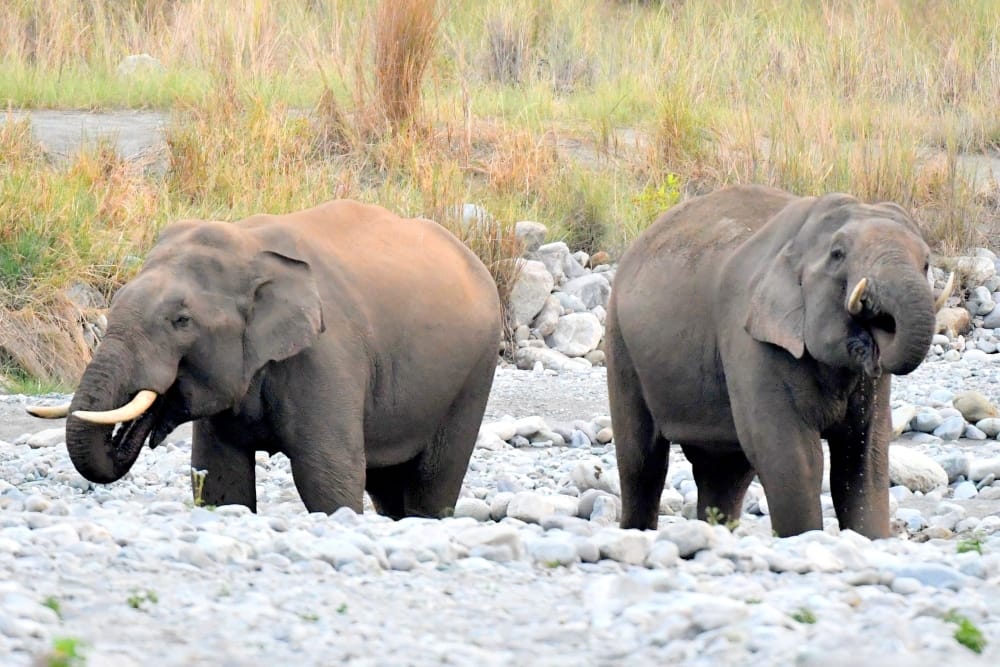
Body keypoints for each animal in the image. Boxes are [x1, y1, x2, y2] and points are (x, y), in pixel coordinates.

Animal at [28, 200, 501, 518]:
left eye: (181, 320)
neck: (248, 246)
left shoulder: (326, 356)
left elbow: (327, 475)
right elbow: (219, 479)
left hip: (475, 372)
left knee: (431, 482)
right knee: (388, 486)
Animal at [606, 184, 952, 538]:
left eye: (927, 262)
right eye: (837, 254)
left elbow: (864, 456)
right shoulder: (750, 337)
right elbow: (794, 456)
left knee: (723, 471)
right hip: (620, 342)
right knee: (642, 461)